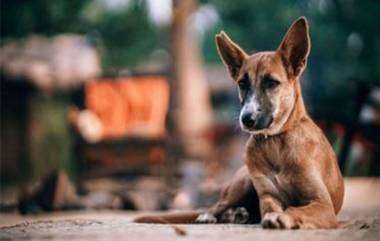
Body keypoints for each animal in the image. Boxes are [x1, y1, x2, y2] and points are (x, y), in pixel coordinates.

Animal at [134, 17, 344, 230]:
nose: (247, 119)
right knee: (217, 205)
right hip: (242, 183)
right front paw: (274, 215)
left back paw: (238, 215)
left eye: (271, 82)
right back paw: (213, 215)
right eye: (242, 84)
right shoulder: (268, 196)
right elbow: (271, 207)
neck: (275, 141)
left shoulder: (322, 204)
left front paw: (283, 217)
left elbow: (296, 209)